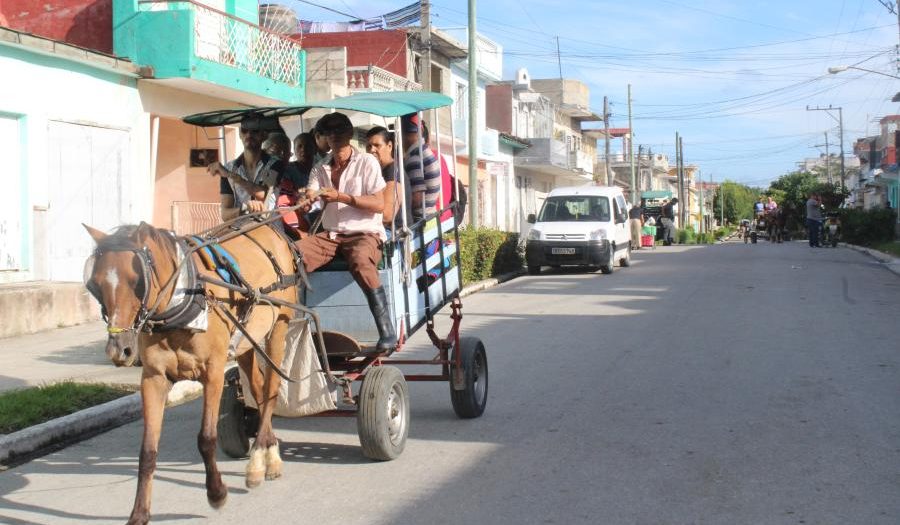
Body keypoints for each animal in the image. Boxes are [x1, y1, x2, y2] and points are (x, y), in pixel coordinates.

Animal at [83, 221, 298, 524]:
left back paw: (261, 459)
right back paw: (267, 453)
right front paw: (139, 513)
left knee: (271, 390)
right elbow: (147, 451)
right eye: (94, 284)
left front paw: (216, 493)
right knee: (258, 389)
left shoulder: (214, 373)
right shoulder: (154, 378)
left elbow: (206, 438)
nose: (119, 349)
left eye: (137, 281)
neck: (182, 301)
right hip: (247, 341)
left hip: (279, 326)